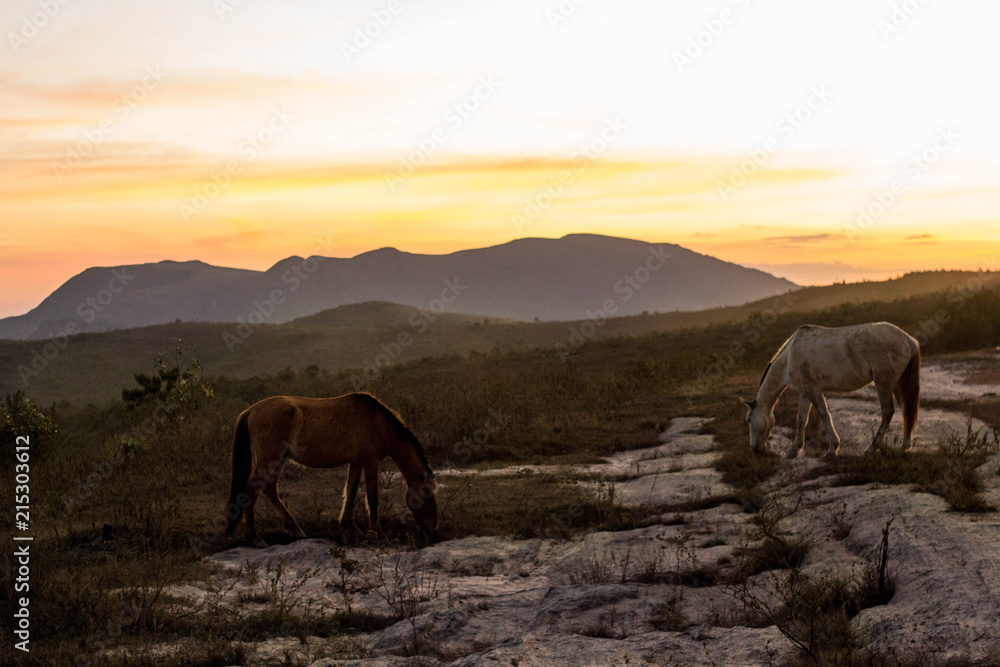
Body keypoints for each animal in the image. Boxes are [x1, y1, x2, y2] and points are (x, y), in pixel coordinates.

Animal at [221, 392, 437, 547]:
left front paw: (350, 527)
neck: (377, 422)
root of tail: (250, 410)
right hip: (269, 459)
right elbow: (372, 498)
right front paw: (379, 535)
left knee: (269, 489)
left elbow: (351, 492)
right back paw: (255, 539)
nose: (432, 530)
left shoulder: (357, 462)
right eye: (427, 492)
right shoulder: (370, 461)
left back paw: (295, 528)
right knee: (252, 491)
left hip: (278, 459)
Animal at [742, 322, 920, 459]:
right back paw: (904, 447)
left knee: (887, 412)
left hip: (884, 383)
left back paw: (871, 448)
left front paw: (832, 449)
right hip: (897, 383)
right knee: (906, 411)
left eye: (749, 419)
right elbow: (801, 419)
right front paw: (794, 450)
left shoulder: (813, 389)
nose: (755, 449)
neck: (789, 358)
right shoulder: (805, 391)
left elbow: (824, 415)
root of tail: (907, 338)